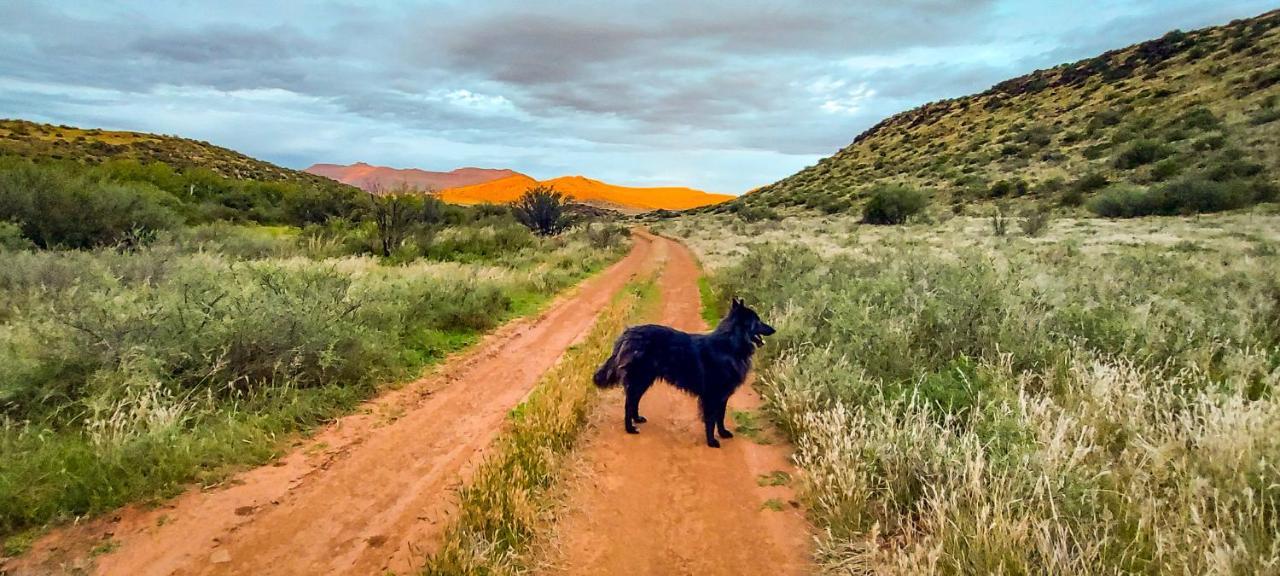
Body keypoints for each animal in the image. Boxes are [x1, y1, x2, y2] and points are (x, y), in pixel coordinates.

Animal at [593, 299, 773, 448]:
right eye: (757, 321)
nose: (774, 329)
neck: (729, 345)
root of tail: (628, 334)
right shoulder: (712, 396)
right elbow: (711, 420)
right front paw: (711, 441)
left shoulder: (723, 395)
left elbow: (720, 417)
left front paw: (722, 433)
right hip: (640, 379)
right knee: (628, 403)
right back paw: (630, 428)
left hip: (645, 379)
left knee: (634, 401)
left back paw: (637, 419)